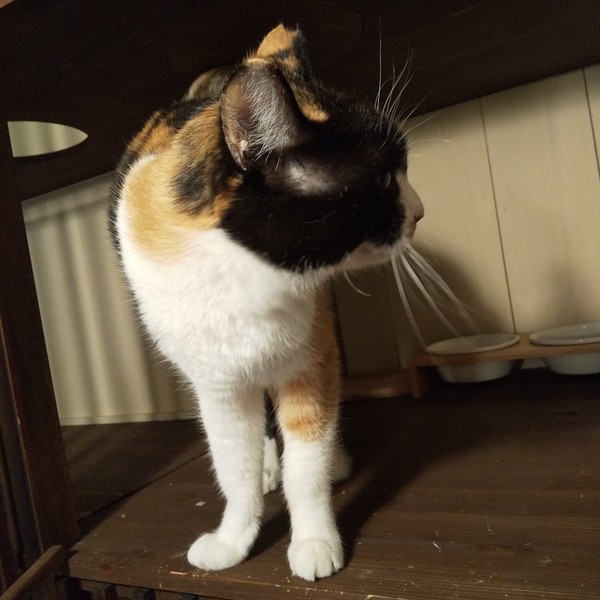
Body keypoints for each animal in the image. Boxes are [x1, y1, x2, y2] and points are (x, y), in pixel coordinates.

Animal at [111, 24, 423, 581]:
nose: (421, 212)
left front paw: (315, 539)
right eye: (385, 180)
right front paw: (233, 539)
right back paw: (266, 468)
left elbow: (307, 462)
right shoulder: (216, 384)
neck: (244, 275)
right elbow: (232, 464)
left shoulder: (311, 360)